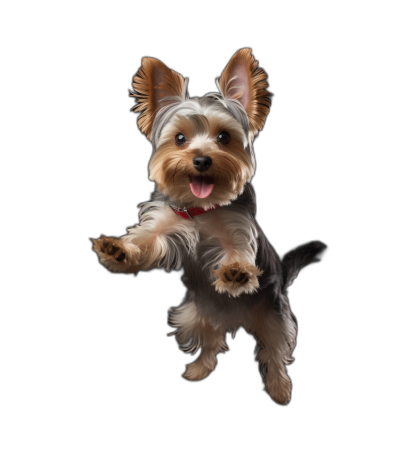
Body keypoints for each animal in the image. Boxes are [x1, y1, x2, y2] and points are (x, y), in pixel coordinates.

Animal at [92, 49, 326, 406]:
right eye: (179, 138)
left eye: (224, 137)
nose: (201, 160)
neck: (202, 209)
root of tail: (234, 319)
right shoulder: (166, 224)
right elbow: (147, 241)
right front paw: (117, 250)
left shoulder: (238, 229)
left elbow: (235, 250)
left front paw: (235, 273)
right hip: (194, 315)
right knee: (211, 341)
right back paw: (199, 369)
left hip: (274, 315)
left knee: (274, 351)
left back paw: (279, 388)